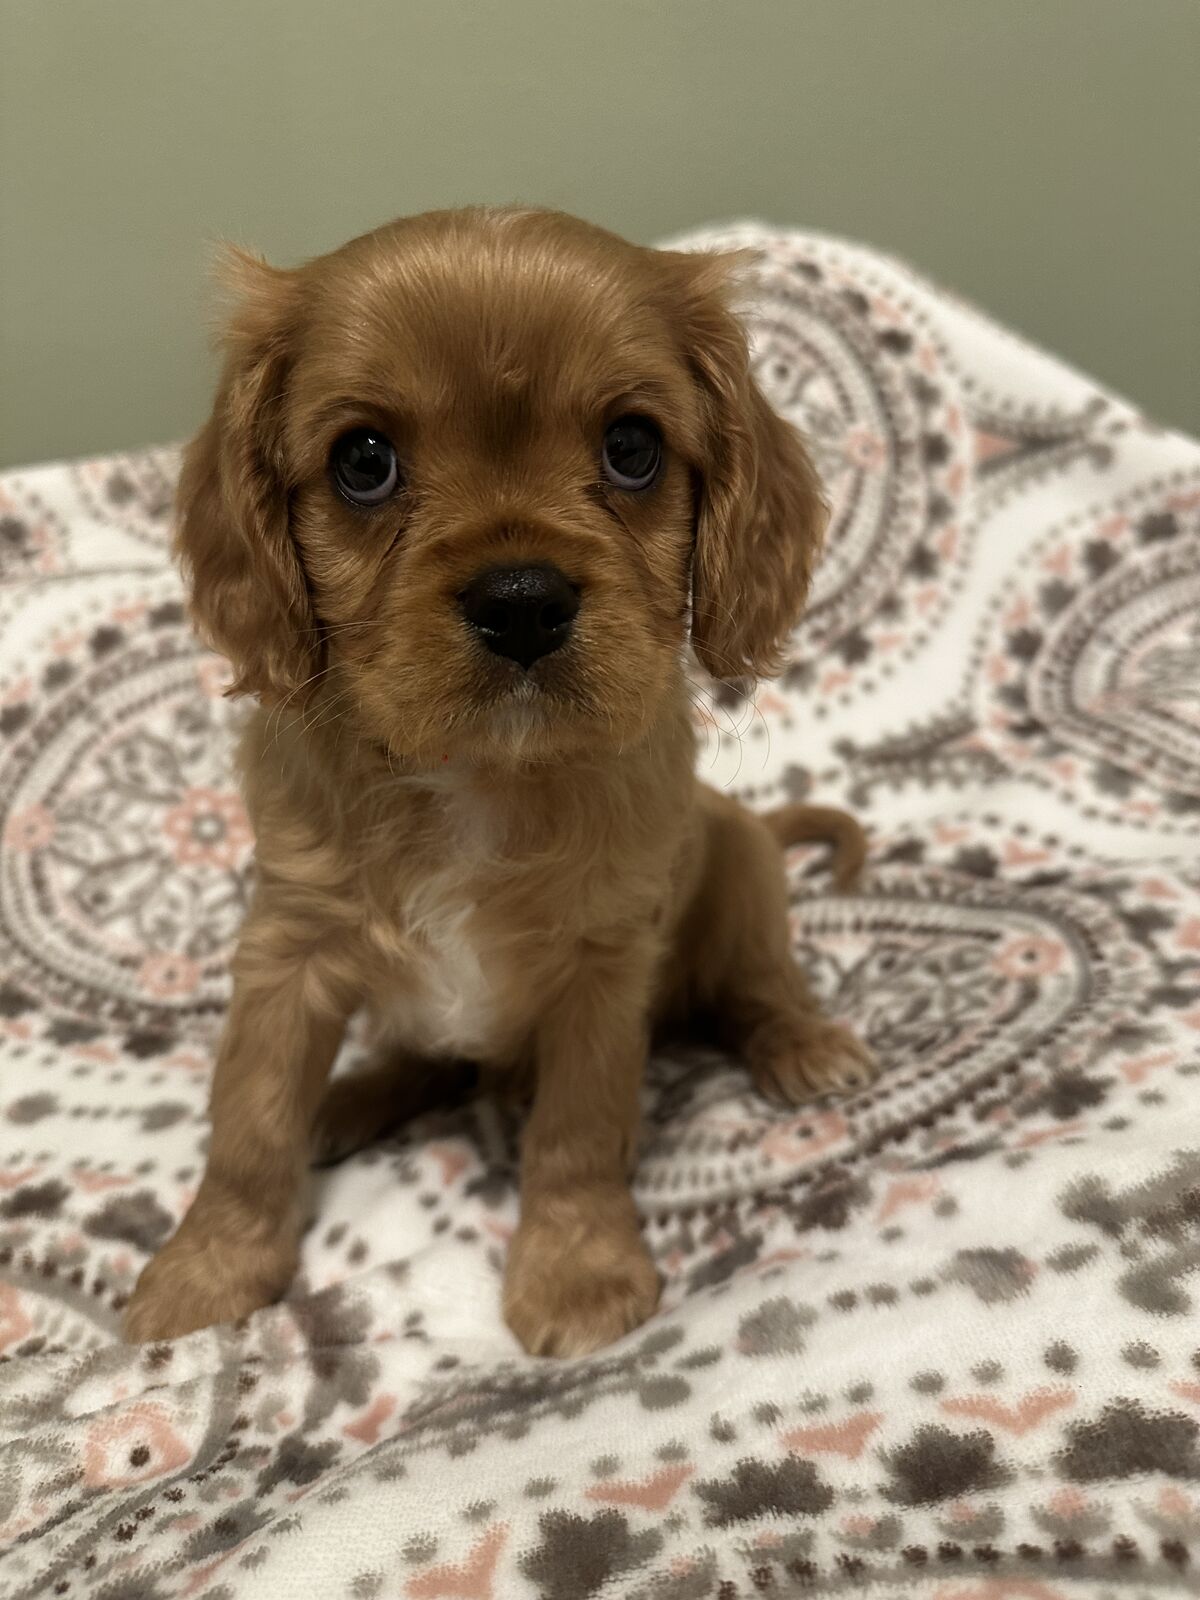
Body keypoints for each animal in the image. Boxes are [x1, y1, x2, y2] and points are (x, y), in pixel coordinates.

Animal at [123, 207, 875, 1357]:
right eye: (365, 461)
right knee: (428, 1060)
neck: (478, 775)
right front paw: (207, 1272)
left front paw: (577, 1271)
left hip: (744, 870)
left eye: (632, 447)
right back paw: (353, 1098)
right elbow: (248, 1122)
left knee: (756, 986)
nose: (522, 600)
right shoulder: (287, 947)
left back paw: (801, 1043)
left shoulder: (603, 964)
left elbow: (577, 1129)